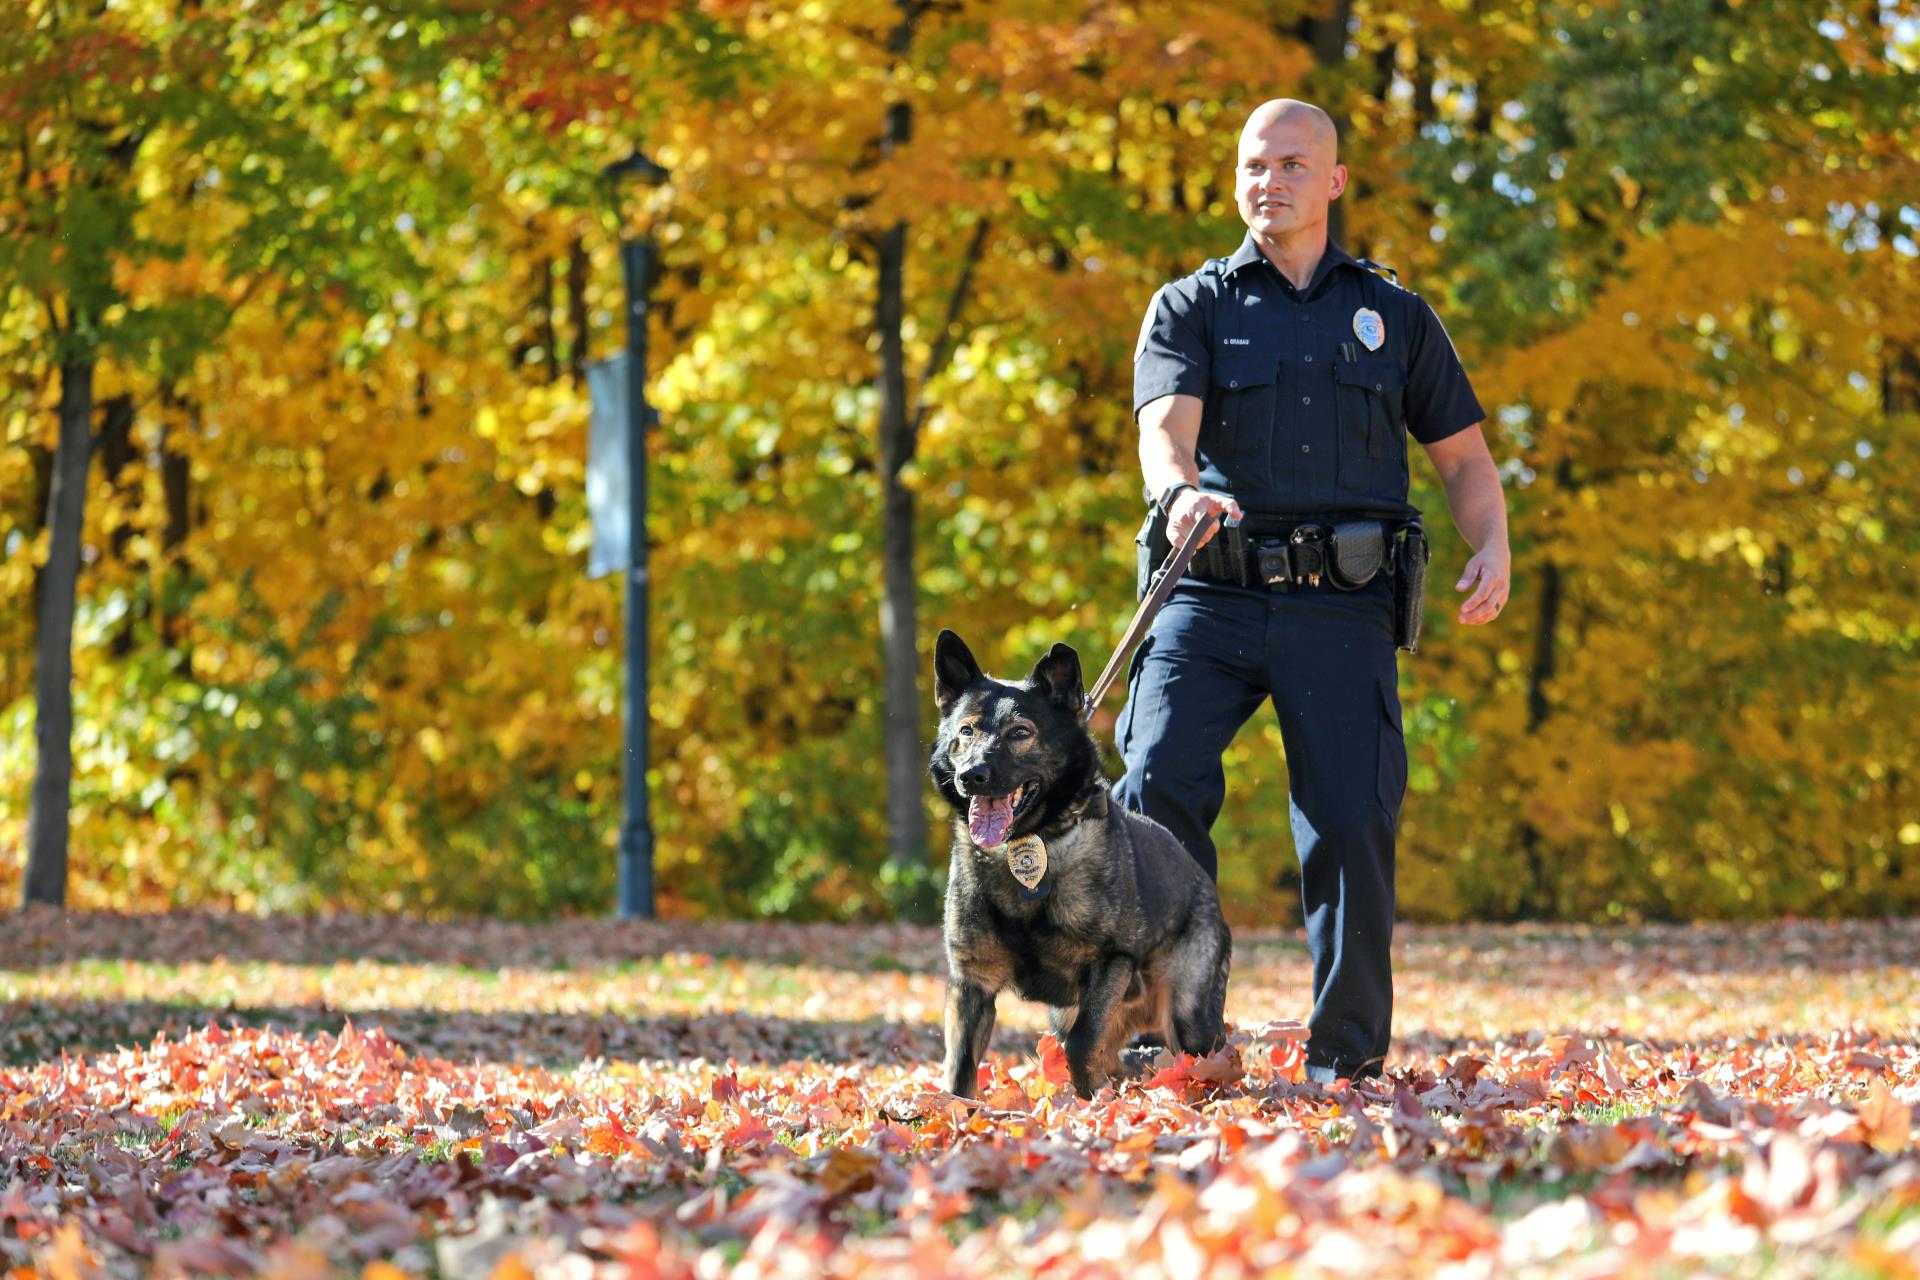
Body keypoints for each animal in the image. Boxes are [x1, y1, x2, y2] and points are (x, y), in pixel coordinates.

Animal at [929, 629, 1228, 1105]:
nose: (971, 775)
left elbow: (1082, 1043)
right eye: (966, 731)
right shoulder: (971, 985)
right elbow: (959, 1069)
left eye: (1020, 733)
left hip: (1189, 1016)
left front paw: (1093, 1104)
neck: (1028, 845)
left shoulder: (1111, 963)